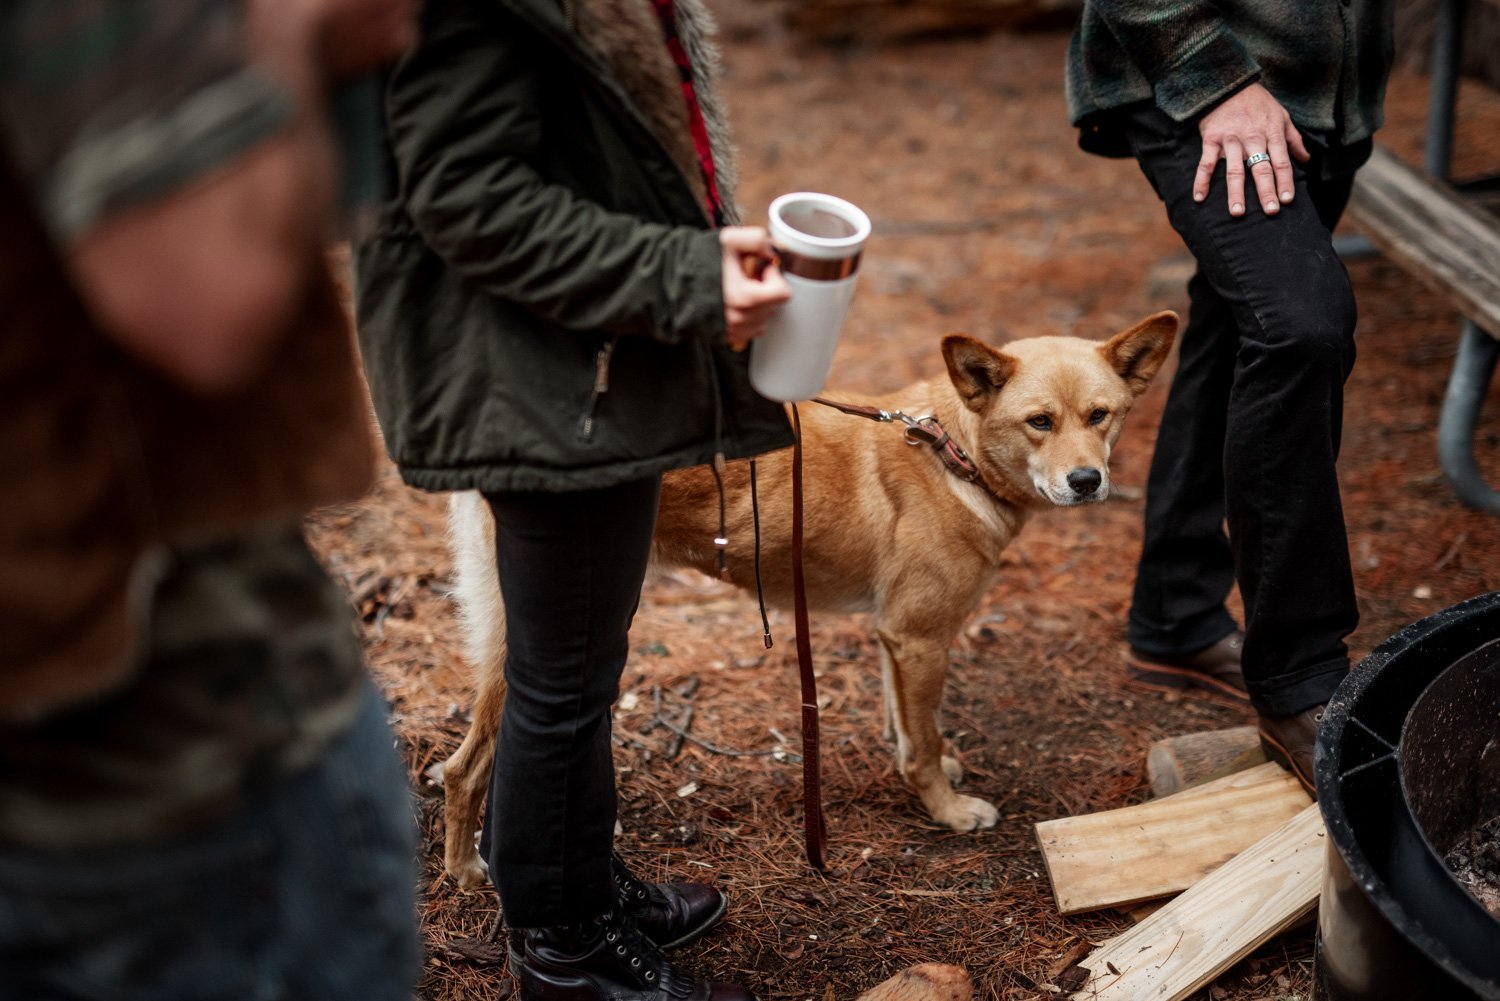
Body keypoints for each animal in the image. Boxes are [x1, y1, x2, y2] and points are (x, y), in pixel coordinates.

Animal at [438, 310, 1176, 882]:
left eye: (1100, 416)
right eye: (1039, 422)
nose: (1088, 481)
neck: (952, 454)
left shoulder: (896, 638)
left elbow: (911, 729)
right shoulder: (921, 638)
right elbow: (924, 743)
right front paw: (946, 810)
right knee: (464, 768)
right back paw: (468, 872)